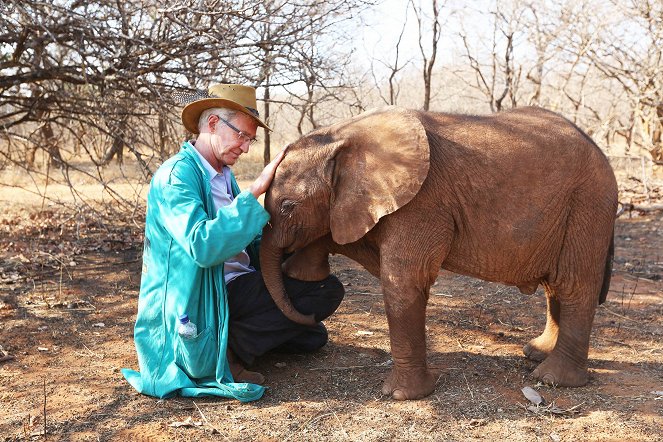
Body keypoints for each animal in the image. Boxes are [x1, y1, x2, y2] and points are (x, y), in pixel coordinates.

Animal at [258, 106, 616, 400]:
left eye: (288, 207)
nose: (308, 319)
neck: (344, 136)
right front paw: (304, 270)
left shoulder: (421, 201)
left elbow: (404, 280)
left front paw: (401, 396)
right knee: (555, 286)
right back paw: (535, 354)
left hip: (589, 204)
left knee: (574, 284)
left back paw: (552, 379)